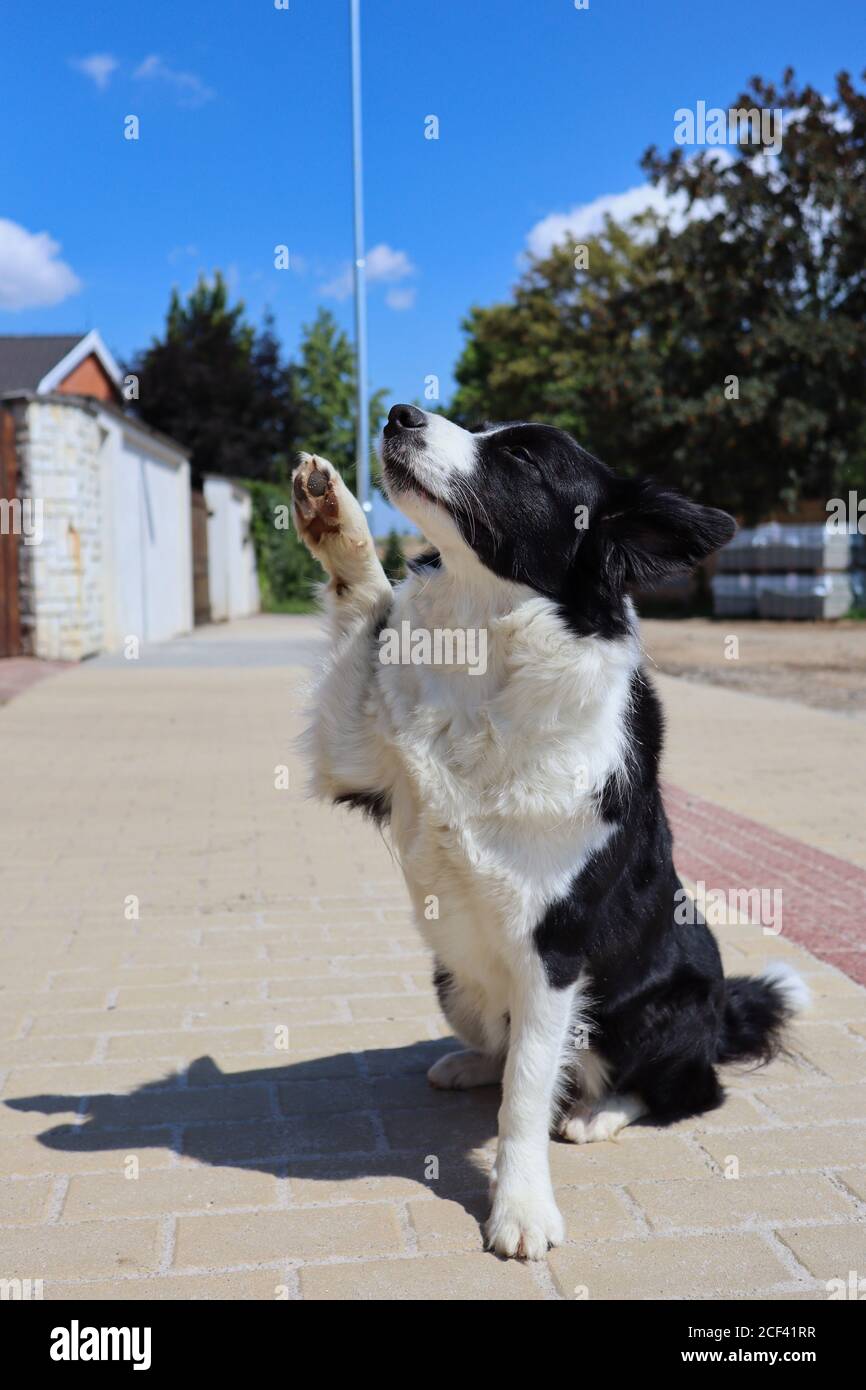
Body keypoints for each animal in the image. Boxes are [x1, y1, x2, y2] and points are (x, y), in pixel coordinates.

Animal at [291, 403, 806, 1262]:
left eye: (526, 459)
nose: (399, 413)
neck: (486, 647)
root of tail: (725, 1012)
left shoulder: (555, 951)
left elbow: (529, 1095)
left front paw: (521, 1207)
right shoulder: (357, 761)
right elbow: (364, 611)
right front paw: (336, 518)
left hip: (655, 1011)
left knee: (684, 1089)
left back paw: (599, 1111)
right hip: (450, 975)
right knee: (505, 1045)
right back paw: (472, 1064)